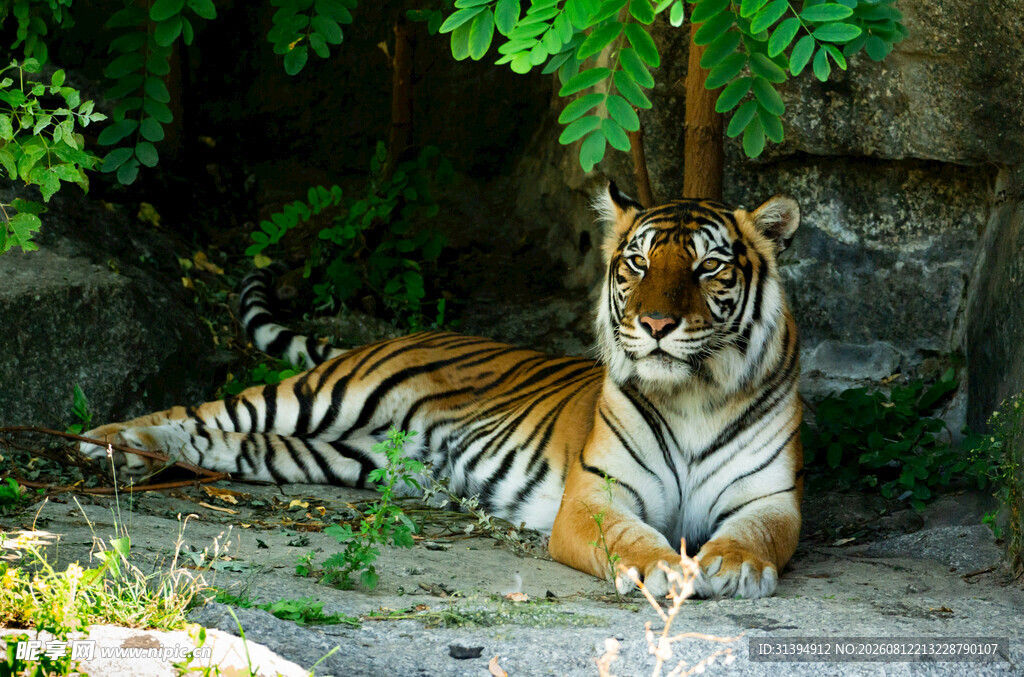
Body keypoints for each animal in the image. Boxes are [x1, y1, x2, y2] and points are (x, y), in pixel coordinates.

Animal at [80, 184, 803, 599]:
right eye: (637, 263)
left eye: (708, 266)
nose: (655, 325)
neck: (694, 395)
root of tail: (406, 334)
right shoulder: (594, 498)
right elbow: (629, 540)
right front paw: (665, 570)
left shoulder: (771, 499)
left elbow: (757, 535)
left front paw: (734, 567)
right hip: (325, 394)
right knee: (207, 409)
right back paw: (109, 441)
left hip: (344, 456)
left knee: (232, 444)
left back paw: (142, 454)